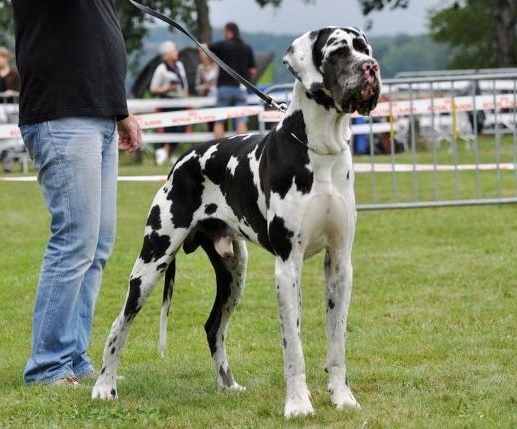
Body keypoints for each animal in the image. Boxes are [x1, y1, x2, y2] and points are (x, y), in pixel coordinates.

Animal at [92, 25, 378, 416]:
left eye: (364, 48)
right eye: (337, 52)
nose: (371, 68)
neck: (322, 149)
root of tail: (181, 160)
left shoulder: (339, 263)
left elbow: (337, 343)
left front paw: (342, 398)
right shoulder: (288, 266)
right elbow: (294, 348)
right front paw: (298, 404)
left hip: (233, 271)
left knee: (213, 326)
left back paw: (228, 384)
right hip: (151, 262)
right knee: (118, 324)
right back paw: (104, 386)